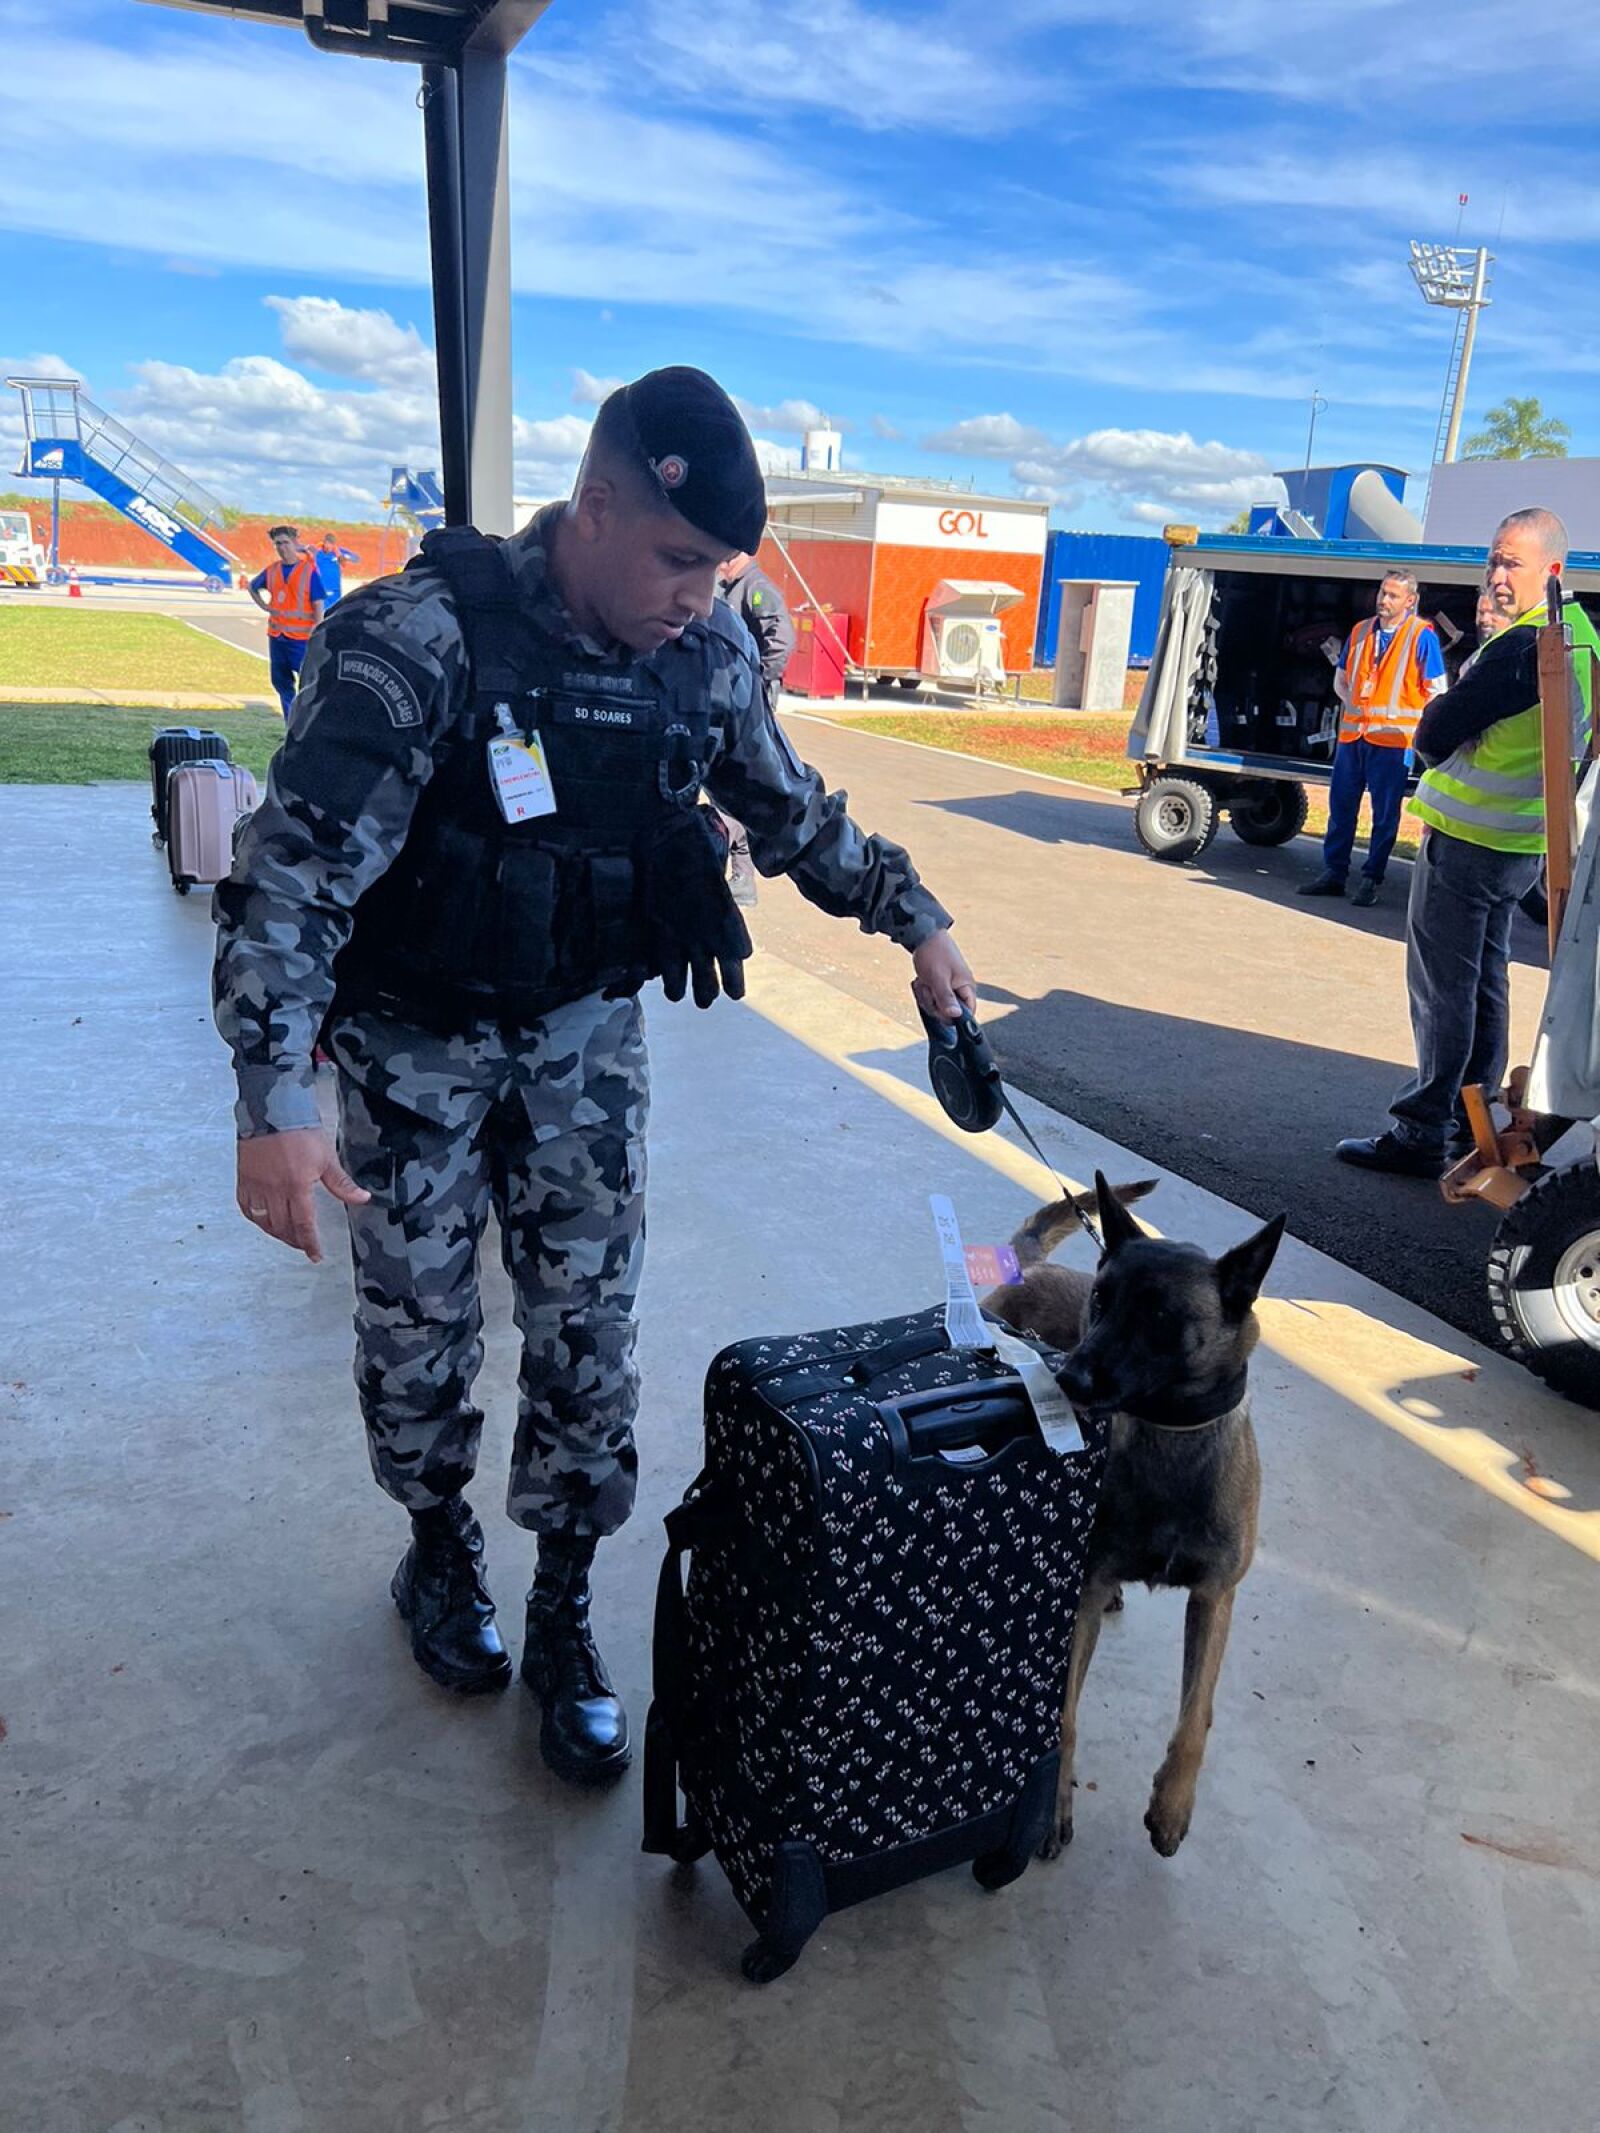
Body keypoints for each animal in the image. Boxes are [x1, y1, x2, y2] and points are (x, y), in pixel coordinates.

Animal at [989, 1177, 1288, 1859]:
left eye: (1159, 1317)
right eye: (1101, 1300)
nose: (1068, 1376)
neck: (1169, 1434)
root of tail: (1030, 1265)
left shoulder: (1214, 1597)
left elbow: (1196, 1718)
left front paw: (1172, 1807)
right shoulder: (1081, 1594)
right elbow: (1063, 1716)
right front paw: (1052, 1809)